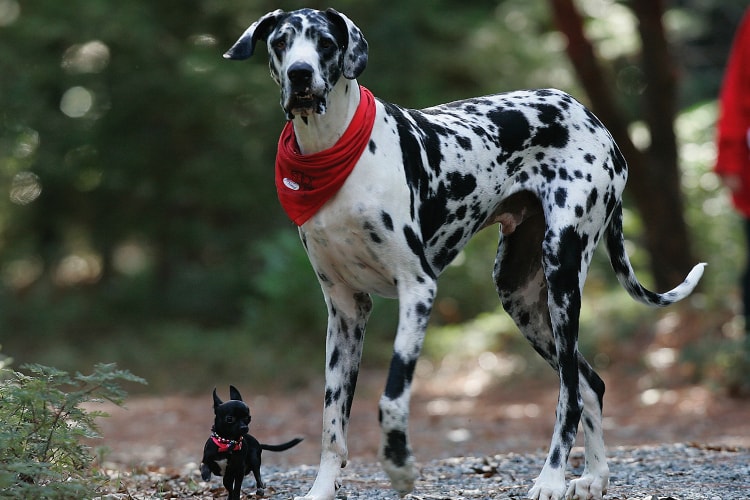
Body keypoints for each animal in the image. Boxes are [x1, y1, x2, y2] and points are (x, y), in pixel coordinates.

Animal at [222, 7, 704, 500]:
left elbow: (391, 398)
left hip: (562, 279)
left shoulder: (418, 289)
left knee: (570, 391)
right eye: (281, 42)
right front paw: (321, 489)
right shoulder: (345, 310)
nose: (300, 74)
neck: (334, 152)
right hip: (520, 296)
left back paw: (551, 477)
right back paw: (595, 476)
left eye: (324, 42)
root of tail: (592, 117)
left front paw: (399, 467)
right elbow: (331, 422)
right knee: (591, 383)